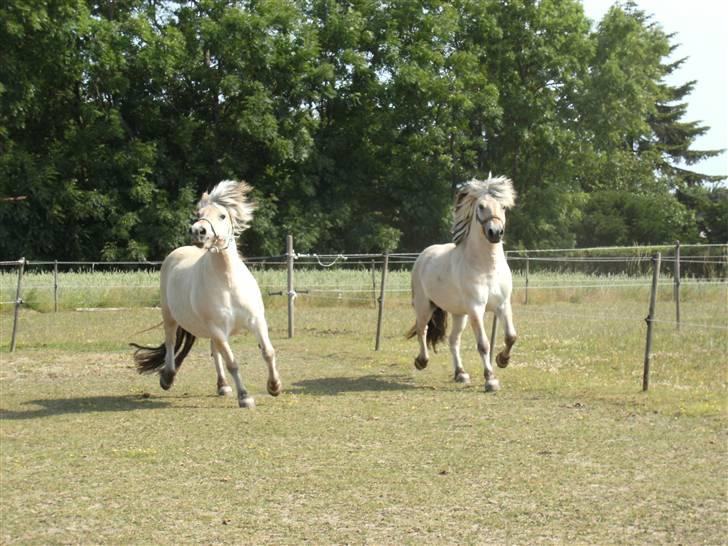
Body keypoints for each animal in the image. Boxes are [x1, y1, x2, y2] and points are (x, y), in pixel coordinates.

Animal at [132, 181, 280, 406]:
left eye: (222, 215)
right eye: (199, 213)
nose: (198, 231)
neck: (228, 282)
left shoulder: (256, 321)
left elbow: (268, 352)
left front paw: (274, 386)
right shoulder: (218, 329)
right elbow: (232, 362)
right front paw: (245, 397)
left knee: (214, 351)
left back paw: (223, 385)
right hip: (170, 316)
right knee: (171, 342)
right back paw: (168, 377)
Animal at [410, 175, 516, 392]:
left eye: (503, 207)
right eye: (481, 206)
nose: (495, 232)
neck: (487, 267)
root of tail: (424, 255)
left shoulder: (502, 305)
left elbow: (511, 336)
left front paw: (502, 360)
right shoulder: (476, 308)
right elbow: (483, 344)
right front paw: (491, 379)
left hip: (459, 314)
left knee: (453, 339)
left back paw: (461, 373)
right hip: (425, 306)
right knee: (422, 330)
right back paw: (421, 361)